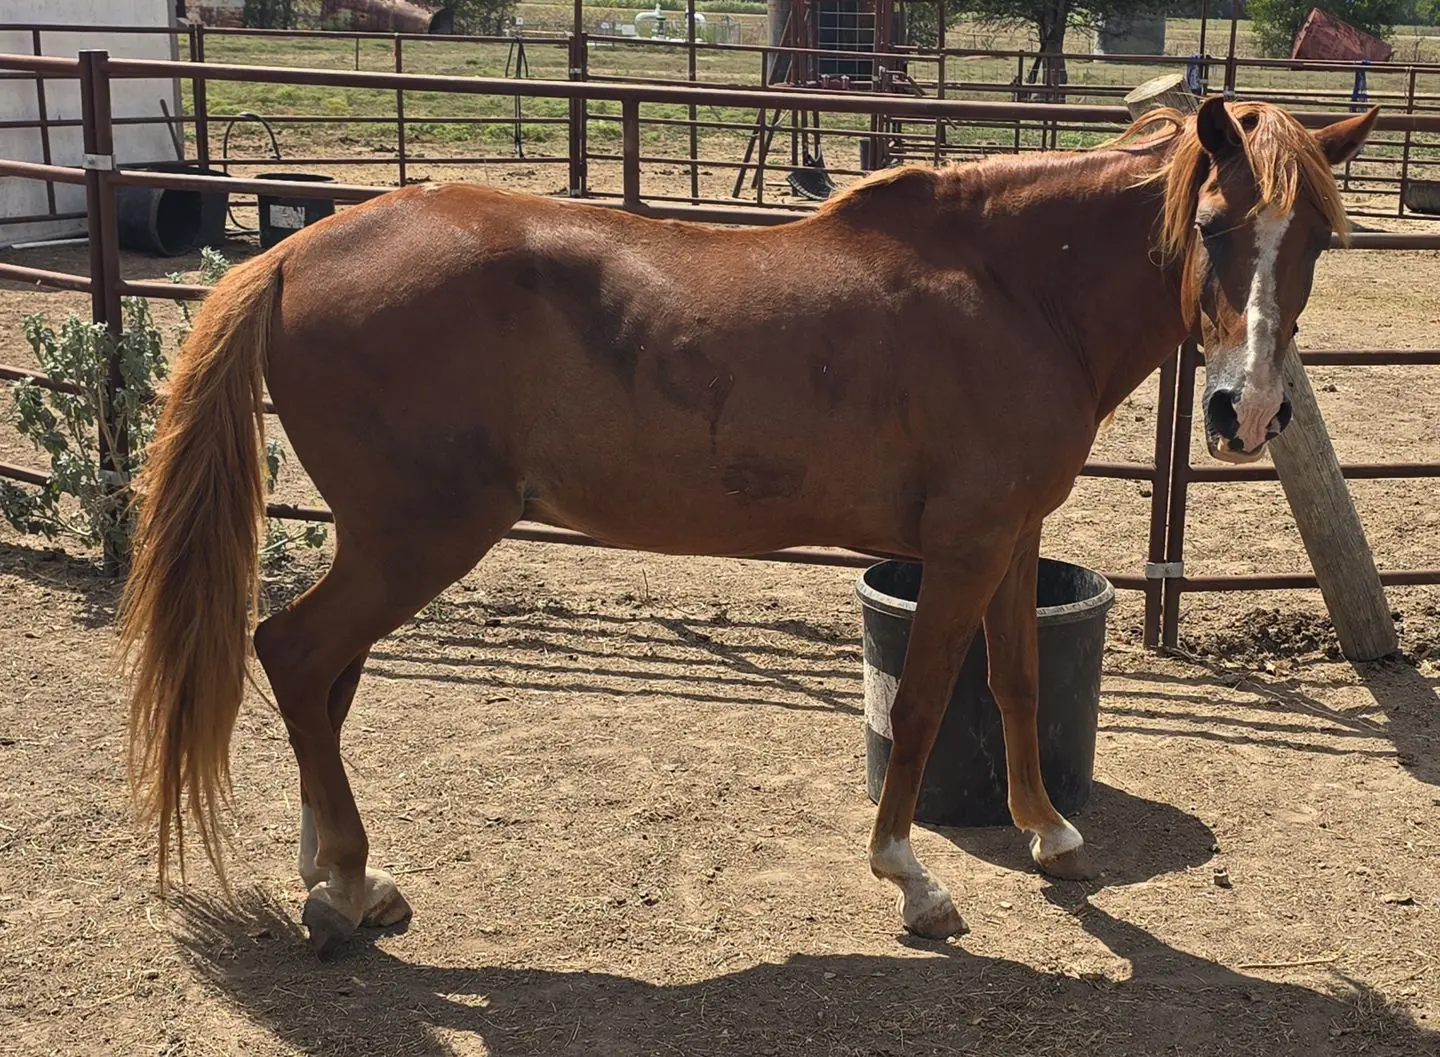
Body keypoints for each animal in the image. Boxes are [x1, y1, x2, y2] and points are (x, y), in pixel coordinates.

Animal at [119, 98, 1378, 956]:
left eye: (1316, 237)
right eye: (1210, 226)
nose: (1246, 411)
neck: (1015, 293)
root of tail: (293, 250)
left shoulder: (1013, 539)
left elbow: (1018, 687)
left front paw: (1050, 837)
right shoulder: (962, 548)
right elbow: (923, 707)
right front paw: (912, 878)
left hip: (385, 543)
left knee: (321, 678)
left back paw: (337, 875)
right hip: (414, 539)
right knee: (294, 654)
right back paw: (343, 884)